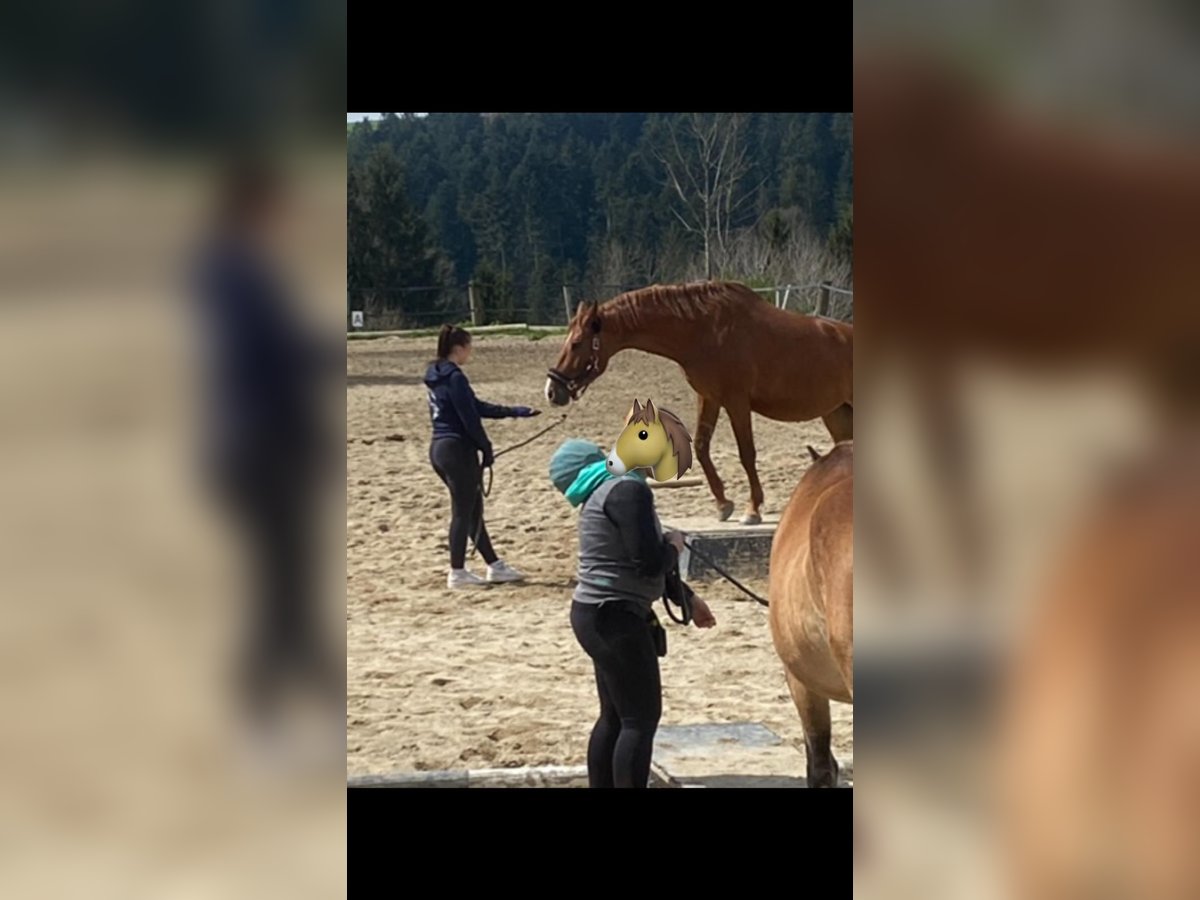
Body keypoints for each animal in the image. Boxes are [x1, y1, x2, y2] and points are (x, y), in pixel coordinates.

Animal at [544, 285, 854, 525]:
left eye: (577, 342)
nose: (552, 390)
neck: (706, 329)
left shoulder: (736, 401)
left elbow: (747, 453)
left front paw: (752, 510)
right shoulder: (709, 399)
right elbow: (702, 447)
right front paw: (723, 504)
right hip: (836, 414)